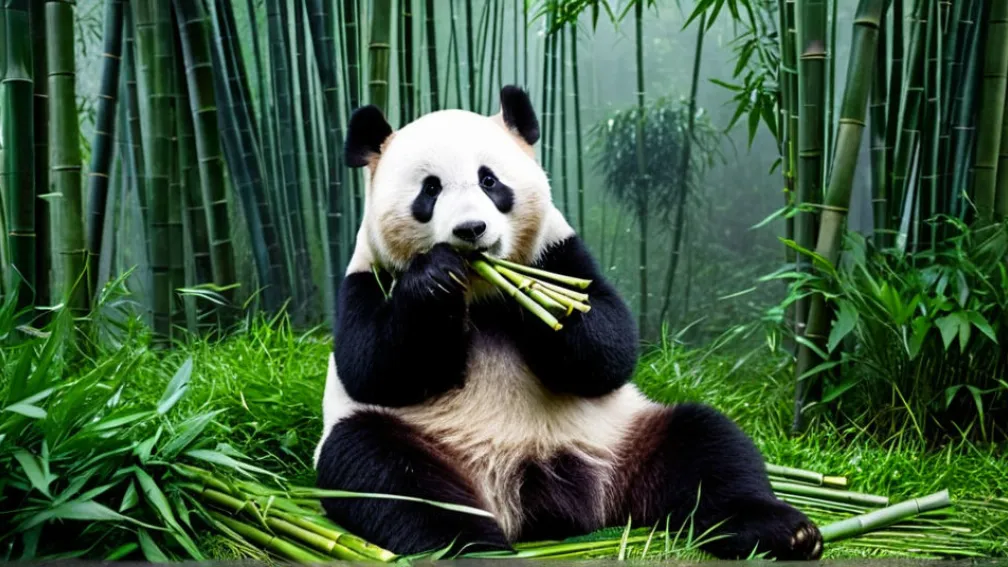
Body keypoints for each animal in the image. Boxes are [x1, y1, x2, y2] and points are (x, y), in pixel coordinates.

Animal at [313, 85, 824, 561]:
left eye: (489, 180)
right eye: (431, 190)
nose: (471, 230)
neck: (480, 293)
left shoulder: (559, 251)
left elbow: (609, 347)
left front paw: (539, 296)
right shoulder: (367, 276)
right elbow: (373, 365)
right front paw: (436, 279)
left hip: (626, 434)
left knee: (707, 445)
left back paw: (785, 532)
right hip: (427, 445)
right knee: (389, 478)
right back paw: (476, 551)